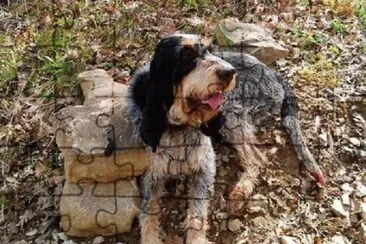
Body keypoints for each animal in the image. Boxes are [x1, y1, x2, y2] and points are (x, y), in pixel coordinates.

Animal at [126, 33, 237, 244]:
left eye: (209, 50)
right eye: (186, 56)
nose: (230, 71)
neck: (179, 126)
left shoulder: (205, 169)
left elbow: (197, 213)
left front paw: (196, 239)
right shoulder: (151, 176)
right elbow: (148, 213)